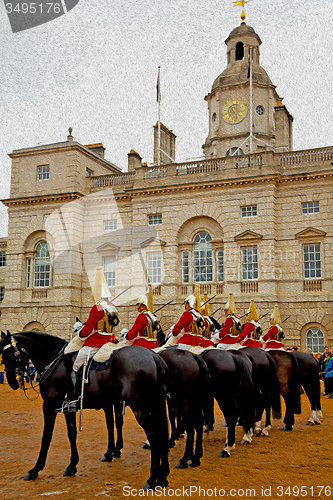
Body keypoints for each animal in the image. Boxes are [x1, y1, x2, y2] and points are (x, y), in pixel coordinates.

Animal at [0, 330, 170, 490]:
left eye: (9, 354)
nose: (12, 382)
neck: (54, 361)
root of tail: (154, 356)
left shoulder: (49, 405)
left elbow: (46, 437)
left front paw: (35, 470)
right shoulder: (69, 407)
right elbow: (72, 434)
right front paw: (72, 466)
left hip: (140, 407)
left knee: (153, 435)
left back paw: (151, 479)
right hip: (156, 405)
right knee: (162, 432)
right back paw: (162, 477)